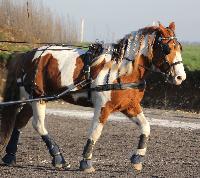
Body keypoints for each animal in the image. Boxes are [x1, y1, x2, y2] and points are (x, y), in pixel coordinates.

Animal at [0, 21, 186, 172]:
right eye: (167, 48)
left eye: (180, 47)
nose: (180, 77)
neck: (121, 70)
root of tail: (28, 54)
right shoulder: (103, 107)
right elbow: (96, 132)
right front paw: (86, 162)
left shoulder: (130, 106)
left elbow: (146, 127)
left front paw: (137, 159)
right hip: (38, 97)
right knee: (38, 124)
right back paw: (58, 158)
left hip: (34, 97)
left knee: (20, 121)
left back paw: (10, 156)